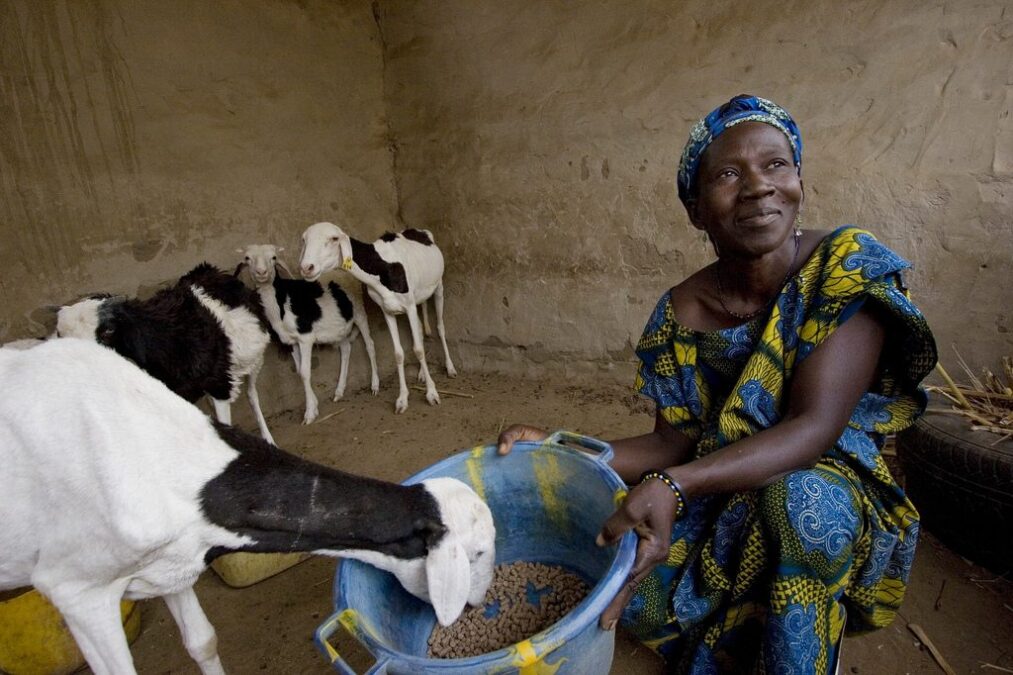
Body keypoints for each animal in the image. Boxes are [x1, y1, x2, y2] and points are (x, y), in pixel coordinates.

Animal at [236, 242, 380, 423]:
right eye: (248, 258)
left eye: (273, 257)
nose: (261, 273)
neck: (281, 302)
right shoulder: (292, 341)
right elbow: (299, 371)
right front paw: (314, 405)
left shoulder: (306, 337)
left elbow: (305, 372)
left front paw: (309, 414)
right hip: (339, 326)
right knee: (346, 349)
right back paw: (339, 392)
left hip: (359, 311)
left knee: (370, 345)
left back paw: (375, 385)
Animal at [299, 221, 459, 409]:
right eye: (304, 239)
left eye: (334, 238)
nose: (306, 268)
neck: (382, 267)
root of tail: (418, 230)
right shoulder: (387, 310)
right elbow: (398, 353)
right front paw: (402, 399)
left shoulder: (409, 306)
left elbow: (418, 349)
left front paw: (432, 393)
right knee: (420, 330)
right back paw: (421, 373)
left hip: (438, 286)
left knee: (440, 327)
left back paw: (450, 368)